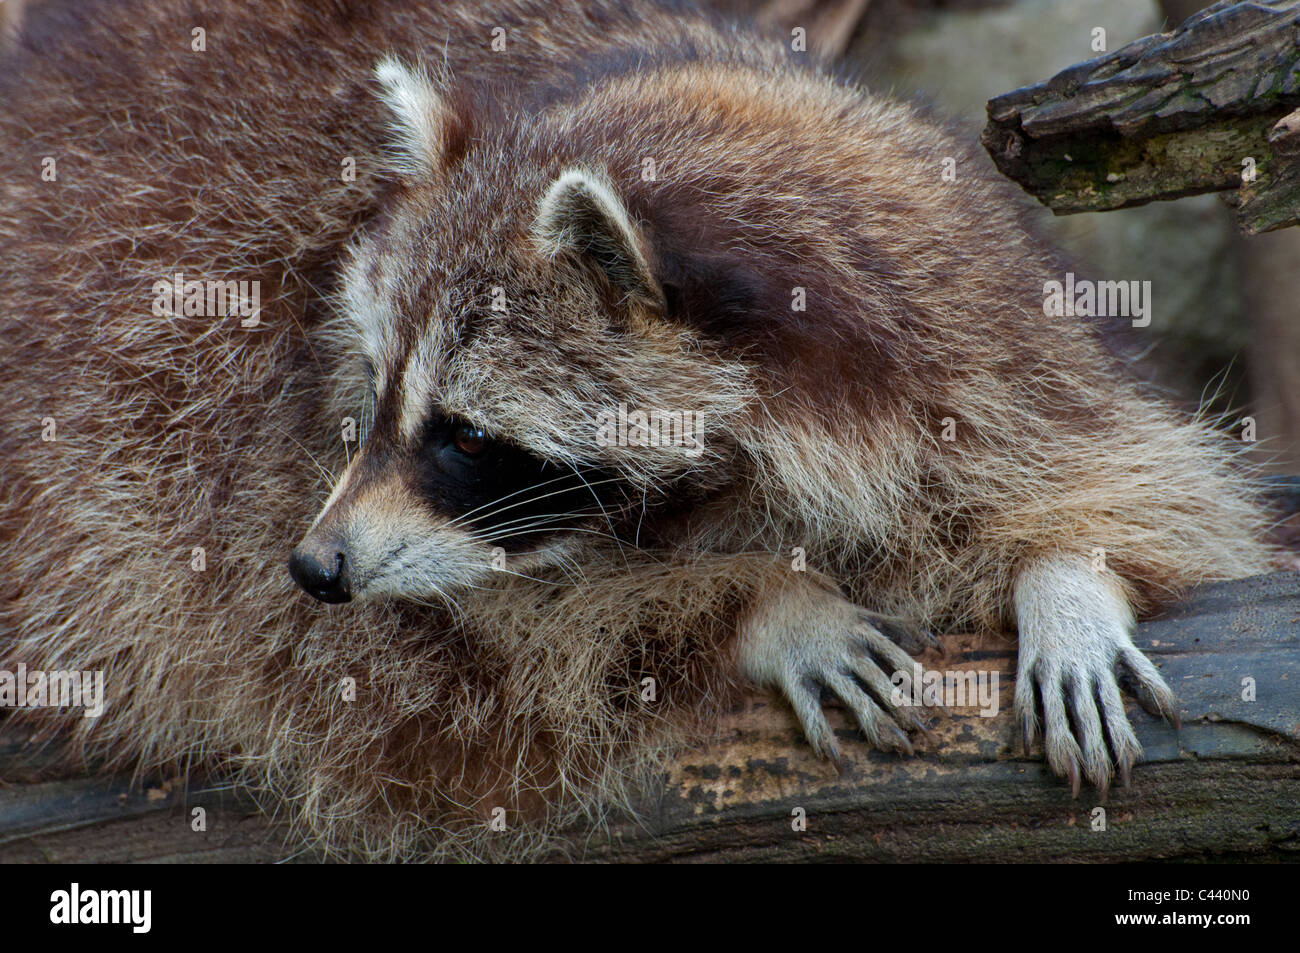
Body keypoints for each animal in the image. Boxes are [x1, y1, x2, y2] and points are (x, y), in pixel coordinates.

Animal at [0, 0, 1275, 861]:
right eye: (369, 396)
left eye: (467, 437)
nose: (316, 565)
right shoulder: (234, 455)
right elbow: (448, 660)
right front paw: (755, 600)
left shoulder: (984, 327)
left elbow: (1155, 478)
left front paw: (1068, 567)